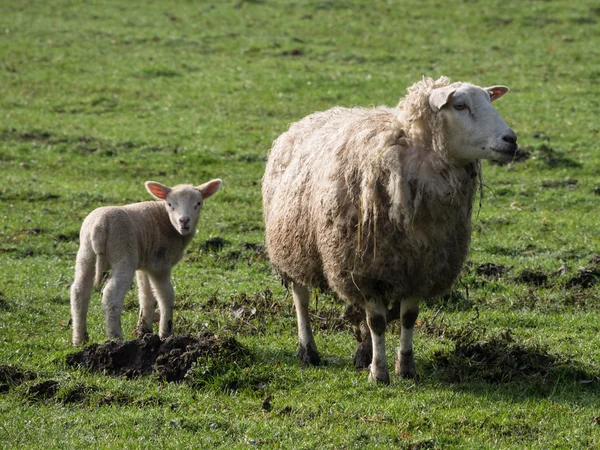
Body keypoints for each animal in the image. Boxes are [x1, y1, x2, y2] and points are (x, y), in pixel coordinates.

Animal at [69, 178, 220, 346]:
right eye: (170, 204)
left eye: (198, 203)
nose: (184, 221)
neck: (168, 222)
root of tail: (99, 227)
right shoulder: (159, 264)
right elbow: (166, 295)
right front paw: (166, 333)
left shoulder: (145, 264)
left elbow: (146, 295)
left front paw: (144, 331)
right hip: (123, 255)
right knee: (111, 293)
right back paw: (116, 337)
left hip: (85, 252)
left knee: (79, 291)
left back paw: (79, 339)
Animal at [260, 76, 516, 384]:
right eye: (460, 105)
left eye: (489, 100)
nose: (511, 140)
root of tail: (308, 119)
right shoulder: (366, 271)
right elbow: (377, 322)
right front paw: (379, 372)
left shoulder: (419, 267)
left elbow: (408, 317)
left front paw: (405, 367)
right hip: (293, 246)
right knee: (301, 298)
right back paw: (308, 351)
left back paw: (362, 352)